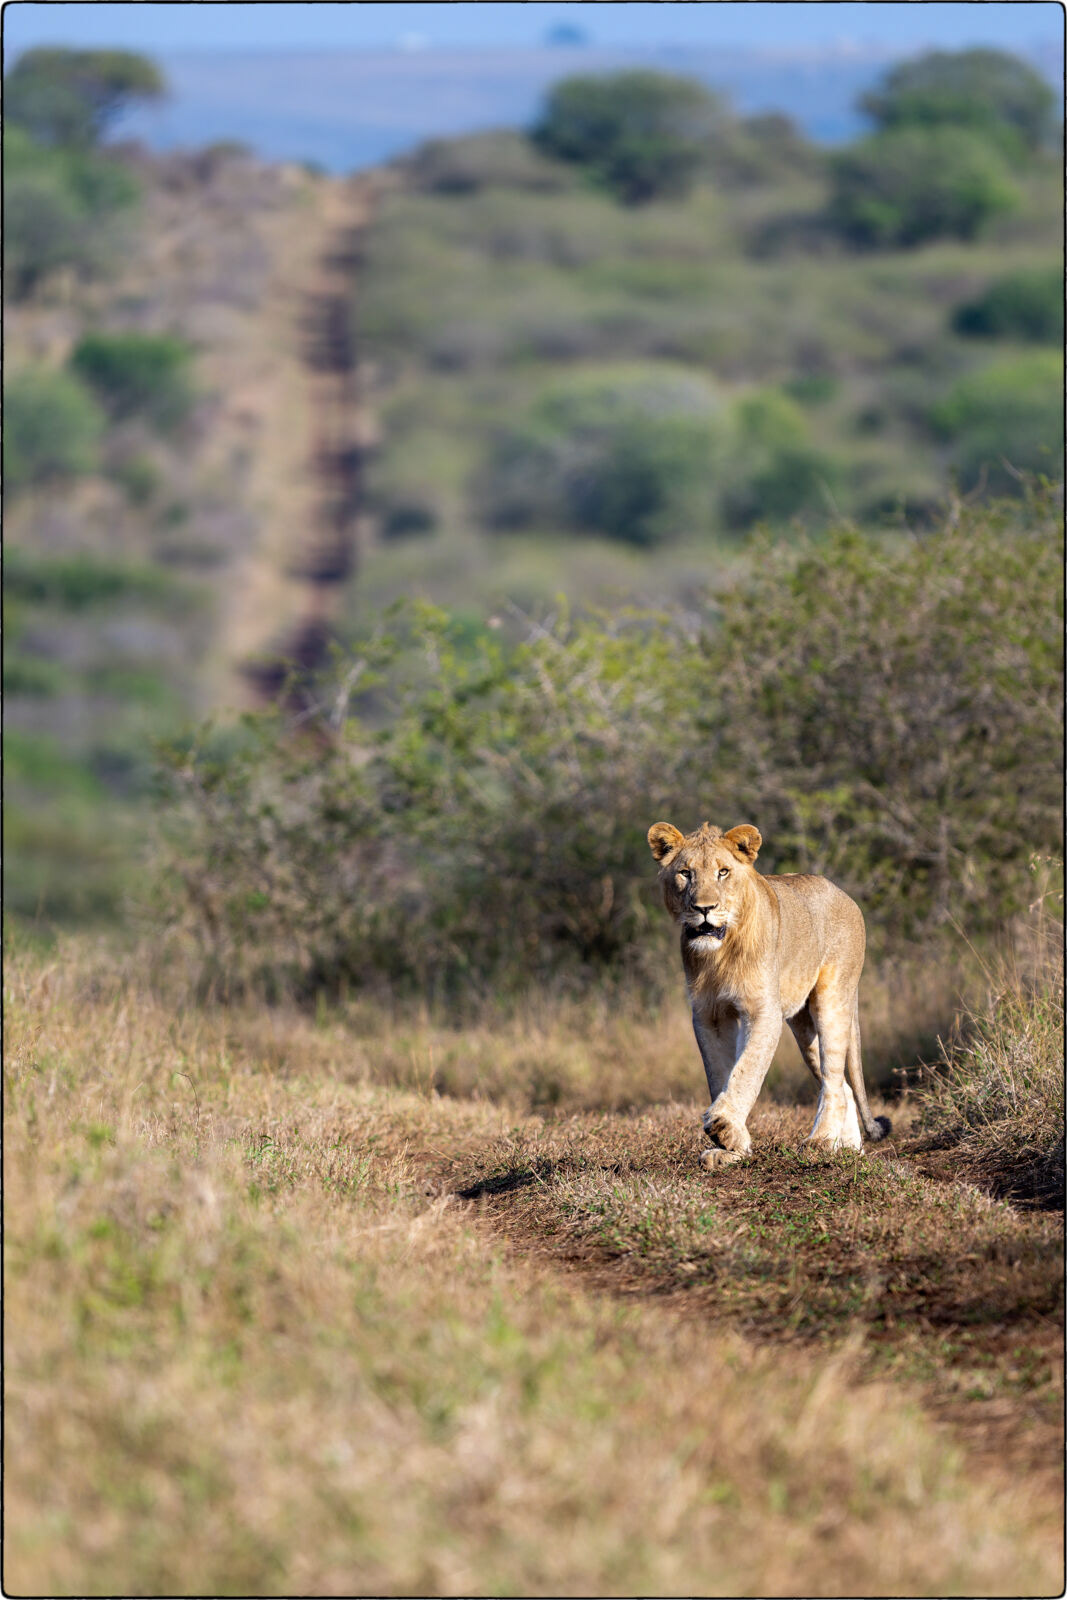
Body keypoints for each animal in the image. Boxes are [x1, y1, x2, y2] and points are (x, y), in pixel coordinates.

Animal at [648, 819, 890, 1167]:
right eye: (685, 873)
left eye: (723, 872)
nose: (704, 909)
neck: (721, 953)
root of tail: (843, 893)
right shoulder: (709, 1015)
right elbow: (720, 1073)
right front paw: (732, 1148)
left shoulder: (763, 1011)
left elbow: (747, 1069)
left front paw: (724, 1127)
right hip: (803, 1026)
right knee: (842, 1084)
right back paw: (846, 1149)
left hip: (833, 999)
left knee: (833, 1077)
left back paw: (819, 1143)